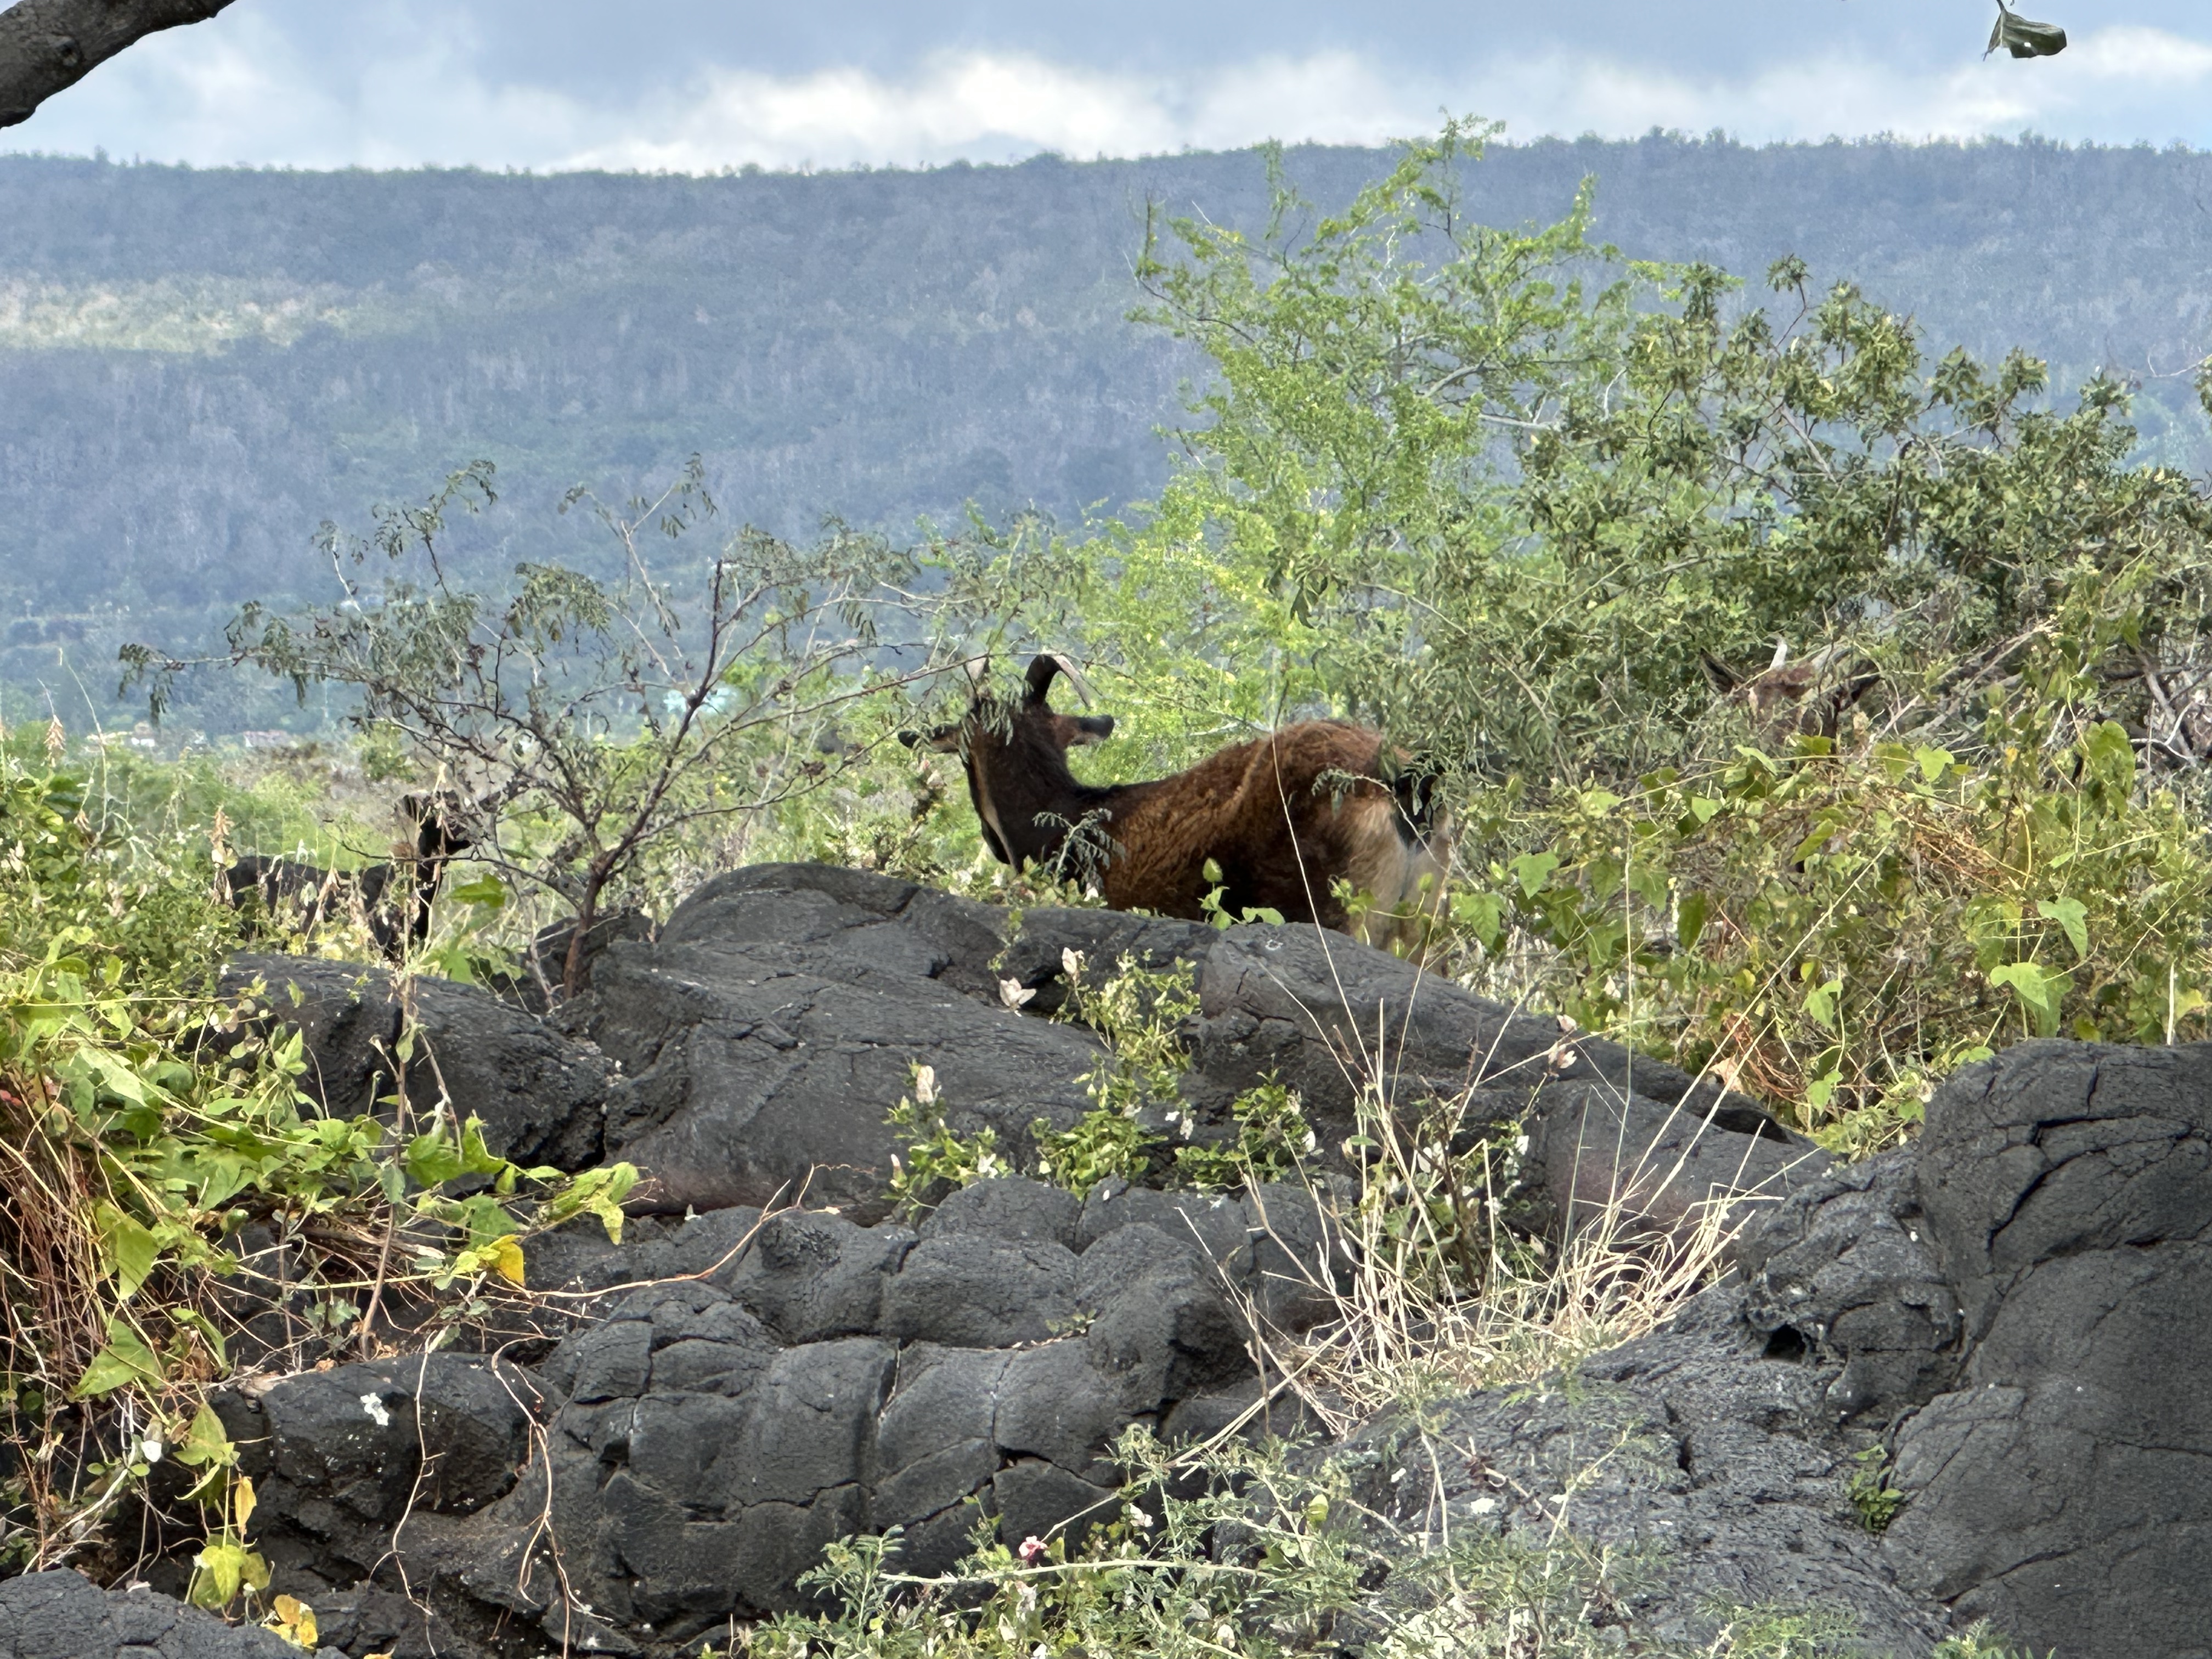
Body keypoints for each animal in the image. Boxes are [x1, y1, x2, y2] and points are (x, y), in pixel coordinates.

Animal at [902, 659, 1451, 946]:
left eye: (965, 756)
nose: (992, 844)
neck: (1064, 819)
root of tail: (1398, 780)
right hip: (1423, 924)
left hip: (1339, 908)